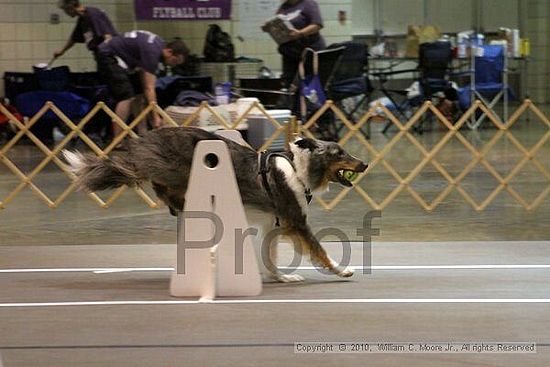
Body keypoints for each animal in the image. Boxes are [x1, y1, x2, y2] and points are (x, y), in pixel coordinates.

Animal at [62, 128, 368, 284]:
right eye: (339, 153)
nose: (365, 164)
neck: (298, 168)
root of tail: (145, 141)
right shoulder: (296, 222)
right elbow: (321, 251)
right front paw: (343, 270)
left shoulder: (272, 224)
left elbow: (269, 257)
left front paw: (281, 277)